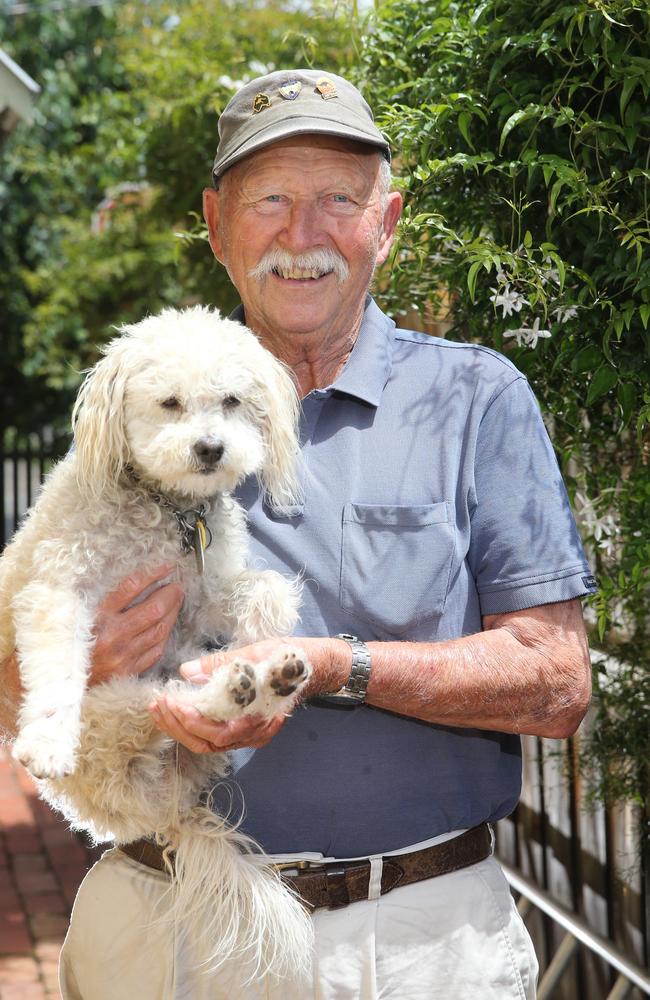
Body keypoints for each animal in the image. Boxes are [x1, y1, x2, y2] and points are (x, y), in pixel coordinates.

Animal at [0, 304, 314, 976]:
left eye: (230, 400)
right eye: (170, 402)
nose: (210, 448)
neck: (167, 509)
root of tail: (158, 812)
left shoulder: (205, 594)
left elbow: (266, 587)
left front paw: (268, 635)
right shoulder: (58, 594)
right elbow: (57, 671)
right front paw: (46, 740)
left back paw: (268, 680)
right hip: (113, 711)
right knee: (171, 703)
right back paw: (241, 689)